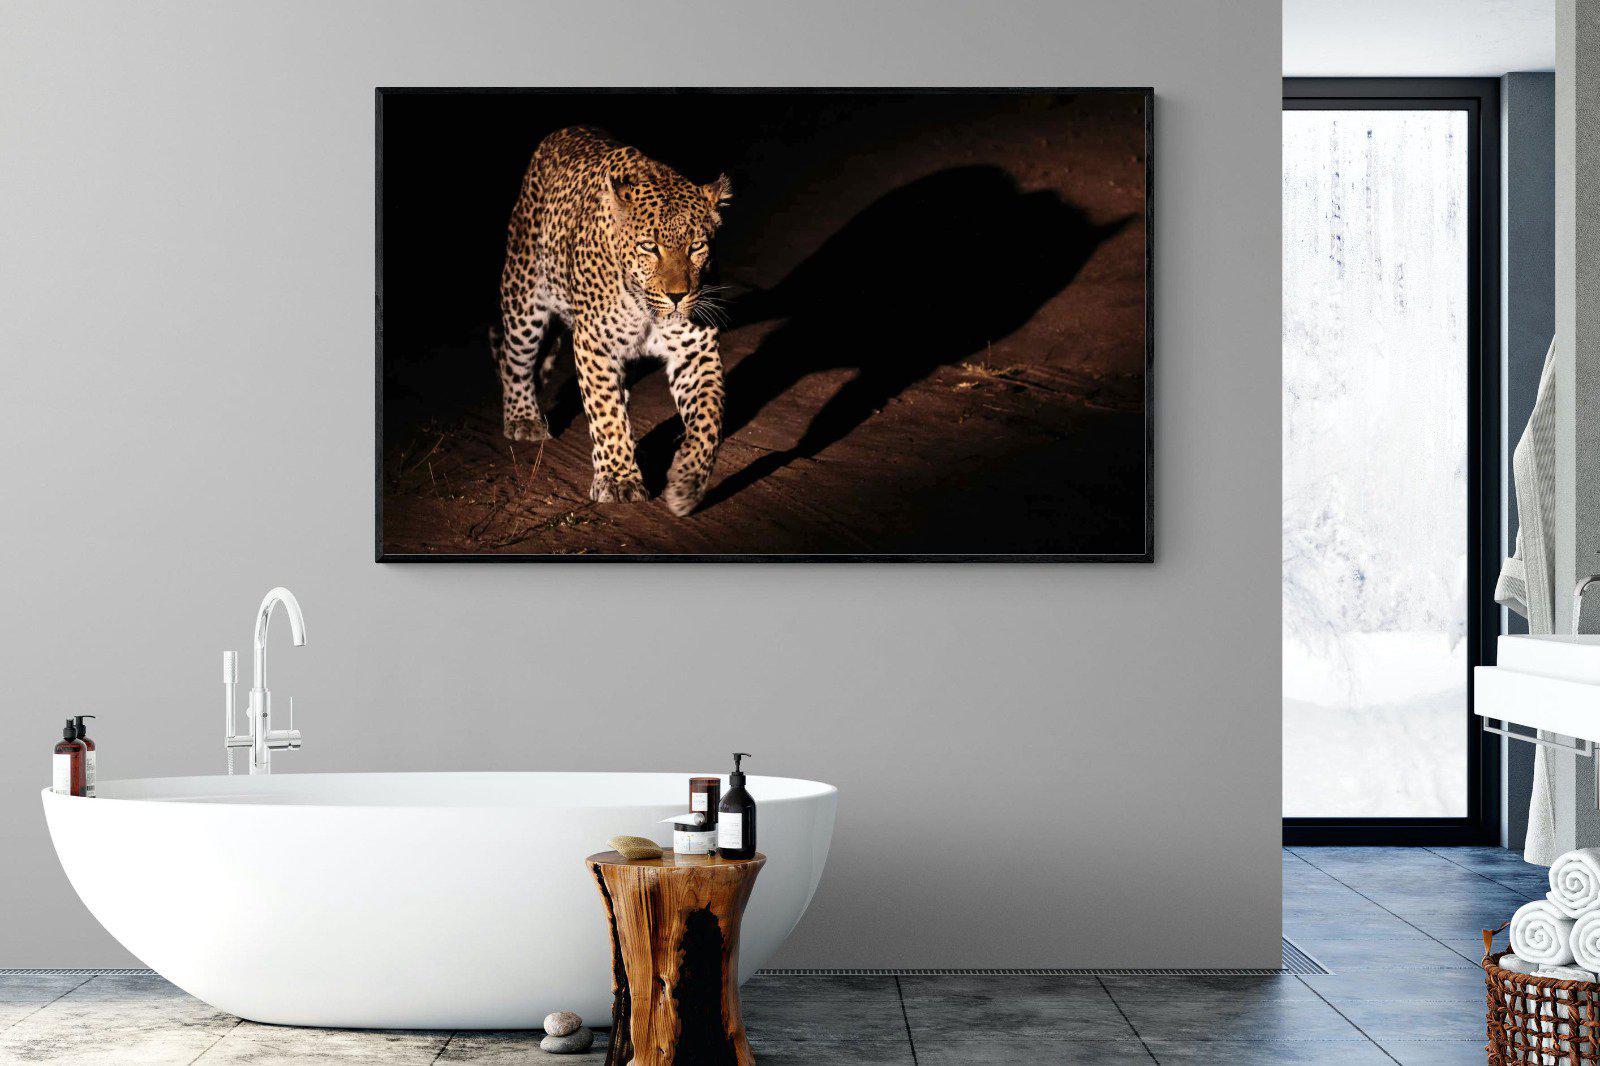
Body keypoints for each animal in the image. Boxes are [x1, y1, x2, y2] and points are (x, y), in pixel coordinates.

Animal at [493, 125, 731, 517]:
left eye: (697, 247)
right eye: (649, 247)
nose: (678, 296)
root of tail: (563, 131)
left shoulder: (695, 350)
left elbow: (709, 418)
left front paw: (687, 483)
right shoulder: (595, 344)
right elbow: (605, 413)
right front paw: (619, 480)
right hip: (524, 297)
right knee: (513, 359)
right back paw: (523, 418)